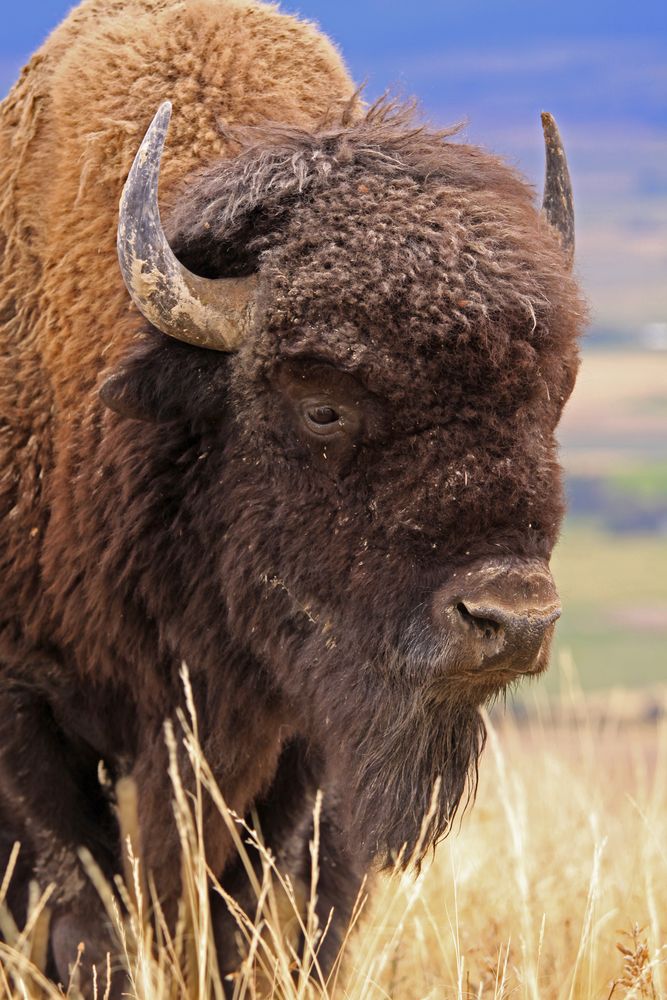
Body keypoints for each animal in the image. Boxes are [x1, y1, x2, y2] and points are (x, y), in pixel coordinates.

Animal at [0, 0, 585, 990]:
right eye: (321, 405)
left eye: (549, 395)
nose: (511, 620)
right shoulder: (28, 706)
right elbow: (84, 910)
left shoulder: (303, 734)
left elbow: (257, 913)